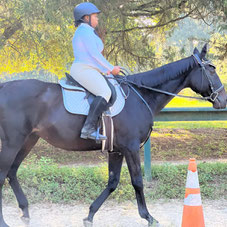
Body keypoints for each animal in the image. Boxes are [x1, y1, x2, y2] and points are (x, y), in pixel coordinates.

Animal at [0, 44, 227, 227]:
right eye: (212, 69)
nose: (223, 100)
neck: (141, 95)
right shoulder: (131, 147)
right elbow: (137, 181)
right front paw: (148, 217)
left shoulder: (116, 150)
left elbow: (112, 182)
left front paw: (90, 215)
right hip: (13, 142)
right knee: (4, 174)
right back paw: (5, 221)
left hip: (28, 140)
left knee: (12, 172)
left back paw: (25, 212)